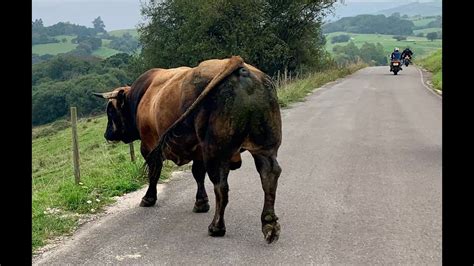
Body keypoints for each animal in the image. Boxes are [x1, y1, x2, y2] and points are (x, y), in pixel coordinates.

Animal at [94, 56, 284, 243]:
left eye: (110, 111)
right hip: (265, 147)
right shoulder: (198, 151)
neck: (141, 97)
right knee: (269, 175)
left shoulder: (149, 147)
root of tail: (238, 64)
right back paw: (269, 224)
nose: (106, 134)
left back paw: (216, 226)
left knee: (221, 186)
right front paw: (201, 202)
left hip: (215, 152)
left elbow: (154, 173)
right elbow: (198, 174)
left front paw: (148, 198)